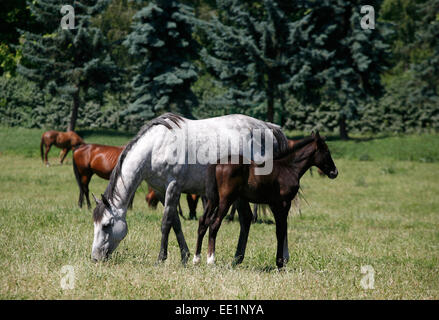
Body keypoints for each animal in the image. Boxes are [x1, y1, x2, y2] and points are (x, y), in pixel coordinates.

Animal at [194, 131, 338, 268]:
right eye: (326, 151)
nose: (334, 172)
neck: (289, 167)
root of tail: (218, 163)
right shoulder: (284, 203)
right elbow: (280, 230)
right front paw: (280, 262)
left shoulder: (274, 204)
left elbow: (283, 228)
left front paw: (283, 259)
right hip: (226, 200)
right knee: (214, 223)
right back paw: (210, 260)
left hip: (213, 199)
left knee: (203, 221)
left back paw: (196, 259)